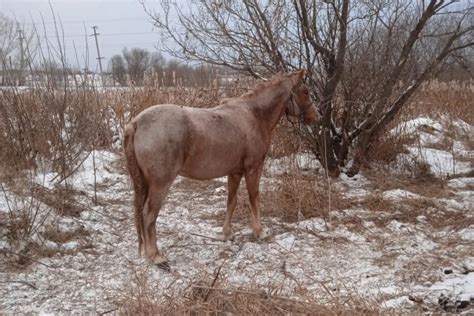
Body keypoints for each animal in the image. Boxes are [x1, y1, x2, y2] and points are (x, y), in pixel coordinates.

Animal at [124, 69, 320, 270]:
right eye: (306, 92)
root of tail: (136, 123)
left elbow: (231, 202)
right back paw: (156, 257)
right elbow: (254, 198)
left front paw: (227, 234)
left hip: (144, 182)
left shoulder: (234, 173)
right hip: (161, 183)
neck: (255, 114)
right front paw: (260, 232)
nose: (317, 116)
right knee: (149, 215)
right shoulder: (253, 169)